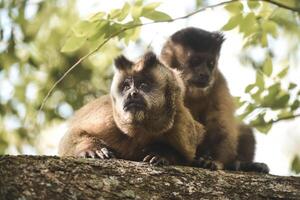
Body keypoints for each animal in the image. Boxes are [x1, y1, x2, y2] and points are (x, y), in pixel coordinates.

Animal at [58, 51, 205, 166]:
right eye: (127, 86)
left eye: (143, 85)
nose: (132, 94)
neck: (141, 130)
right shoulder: (108, 118)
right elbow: (72, 136)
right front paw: (92, 148)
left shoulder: (181, 122)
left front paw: (162, 153)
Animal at [162, 27, 270, 173]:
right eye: (195, 61)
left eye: (210, 64)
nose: (205, 74)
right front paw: (163, 155)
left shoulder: (219, 81)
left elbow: (220, 126)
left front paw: (213, 160)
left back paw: (243, 165)